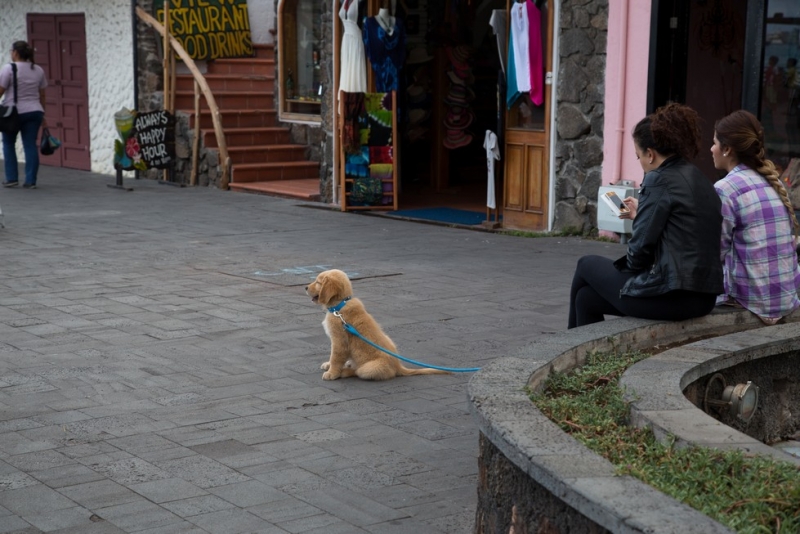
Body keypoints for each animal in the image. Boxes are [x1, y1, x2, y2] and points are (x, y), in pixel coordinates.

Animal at [304, 272, 450, 382]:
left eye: (318, 282)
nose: (305, 287)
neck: (339, 305)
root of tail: (399, 366)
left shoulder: (339, 340)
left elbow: (335, 357)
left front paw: (332, 372)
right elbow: (332, 356)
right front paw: (329, 366)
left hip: (369, 368)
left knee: (358, 371)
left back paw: (345, 371)